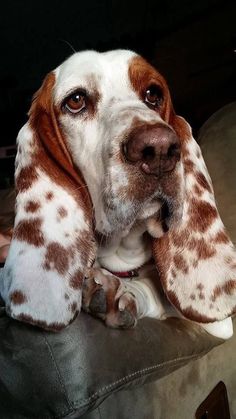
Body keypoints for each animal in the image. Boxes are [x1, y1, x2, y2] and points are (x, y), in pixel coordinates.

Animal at [0, 49, 235, 340]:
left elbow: (158, 291)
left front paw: (121, 294)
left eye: (153, 94)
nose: (159, 149)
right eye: (76, 100)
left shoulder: (219, 325)